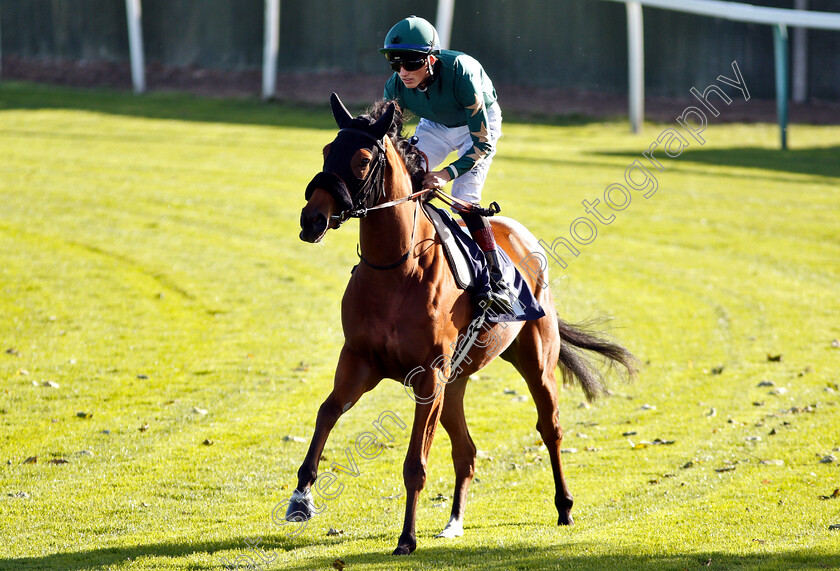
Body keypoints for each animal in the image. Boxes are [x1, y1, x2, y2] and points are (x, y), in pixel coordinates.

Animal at [290, 92, 636, 556]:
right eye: (328, 150)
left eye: (362, 160)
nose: (312, 220)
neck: (396, 268)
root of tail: (522, 236)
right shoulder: (360, 361)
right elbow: (327, 412)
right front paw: (301, 498)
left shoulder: (429, 376)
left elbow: (415, 463)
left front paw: (406, 538)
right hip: (455, 383)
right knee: (467, 452)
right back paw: (453, 521)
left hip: (535, 362)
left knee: (551, 429)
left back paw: (564, 506)